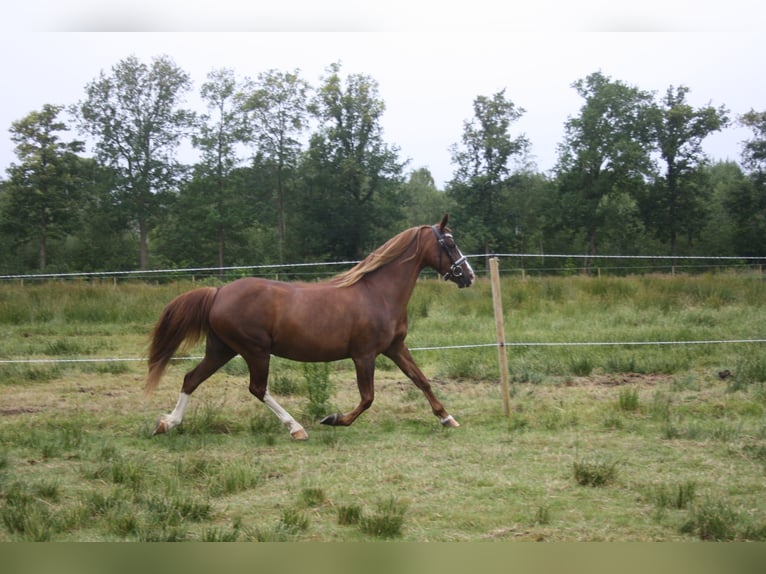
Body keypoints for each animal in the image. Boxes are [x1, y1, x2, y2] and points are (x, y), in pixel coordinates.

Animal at [144, 216, 474, 440]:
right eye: (450, 243)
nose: (468, 276)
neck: (378, 293)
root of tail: (218, 292)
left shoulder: (395, 348)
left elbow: (421, 380)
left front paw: (447, 418)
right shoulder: (364, 355)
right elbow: (367, 398)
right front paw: (333, 418)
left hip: (222, 349)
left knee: (191, 378)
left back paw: (167, 423)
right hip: (254, 350)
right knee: (257, 388)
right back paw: (297, 428)